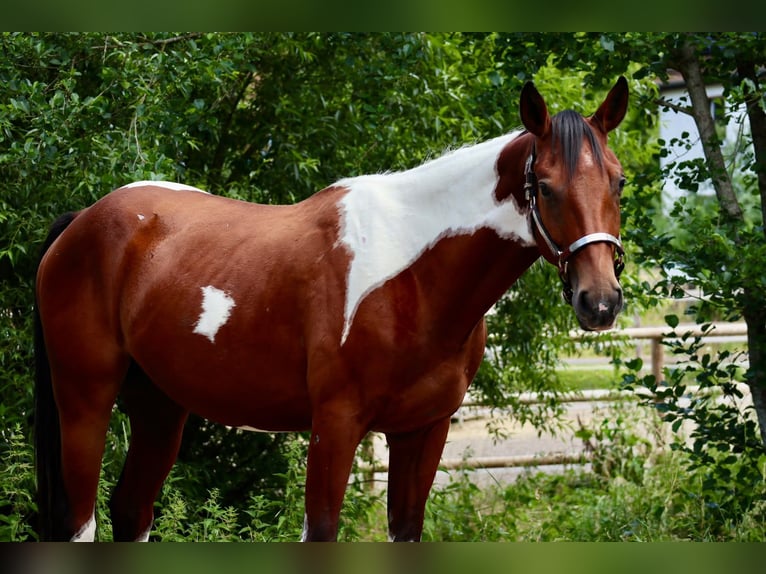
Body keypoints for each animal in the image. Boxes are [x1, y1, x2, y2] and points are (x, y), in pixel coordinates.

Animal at [34, 77, 629, 542]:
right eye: (544, 187)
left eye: (619, 180)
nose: (599, 301)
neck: (410, 276)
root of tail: (85, 219)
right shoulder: (335, 427)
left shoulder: (424, 432)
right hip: (85, 401)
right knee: (81, 521)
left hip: (159, 407)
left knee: (131, 512)